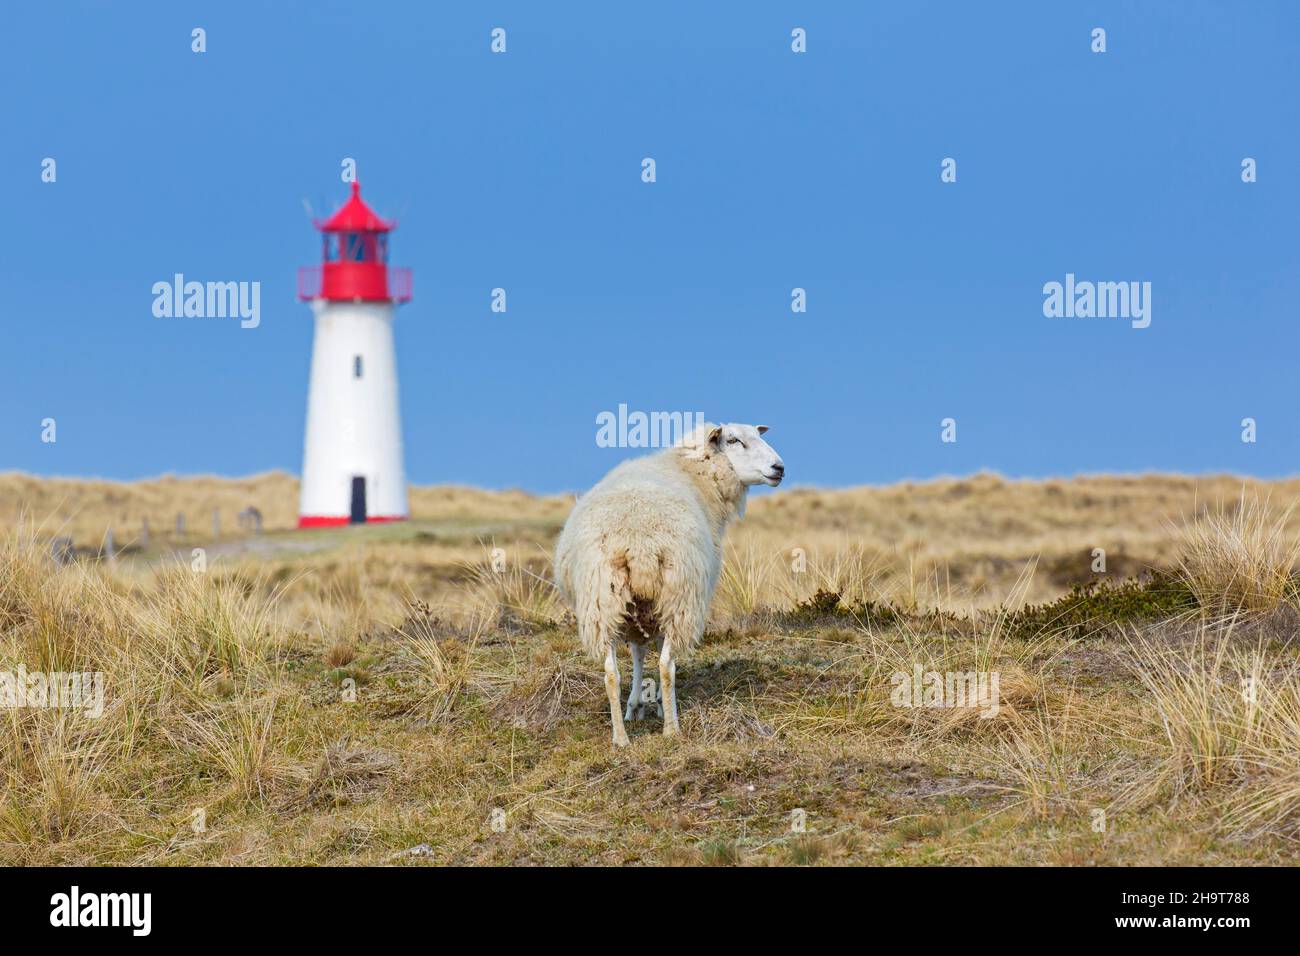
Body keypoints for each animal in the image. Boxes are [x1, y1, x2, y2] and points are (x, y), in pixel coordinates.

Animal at [553, 422, 785, 746]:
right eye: (734, 440)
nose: (779, 468)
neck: (694, 474)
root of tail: (639, 540)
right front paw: (657, 706)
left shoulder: (638, 610)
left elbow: (637, 654)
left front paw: (634, 706)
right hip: (679, 596)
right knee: (667, 665)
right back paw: (672, 728)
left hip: (602, 601)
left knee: (611, 672)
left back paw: (620, 738)